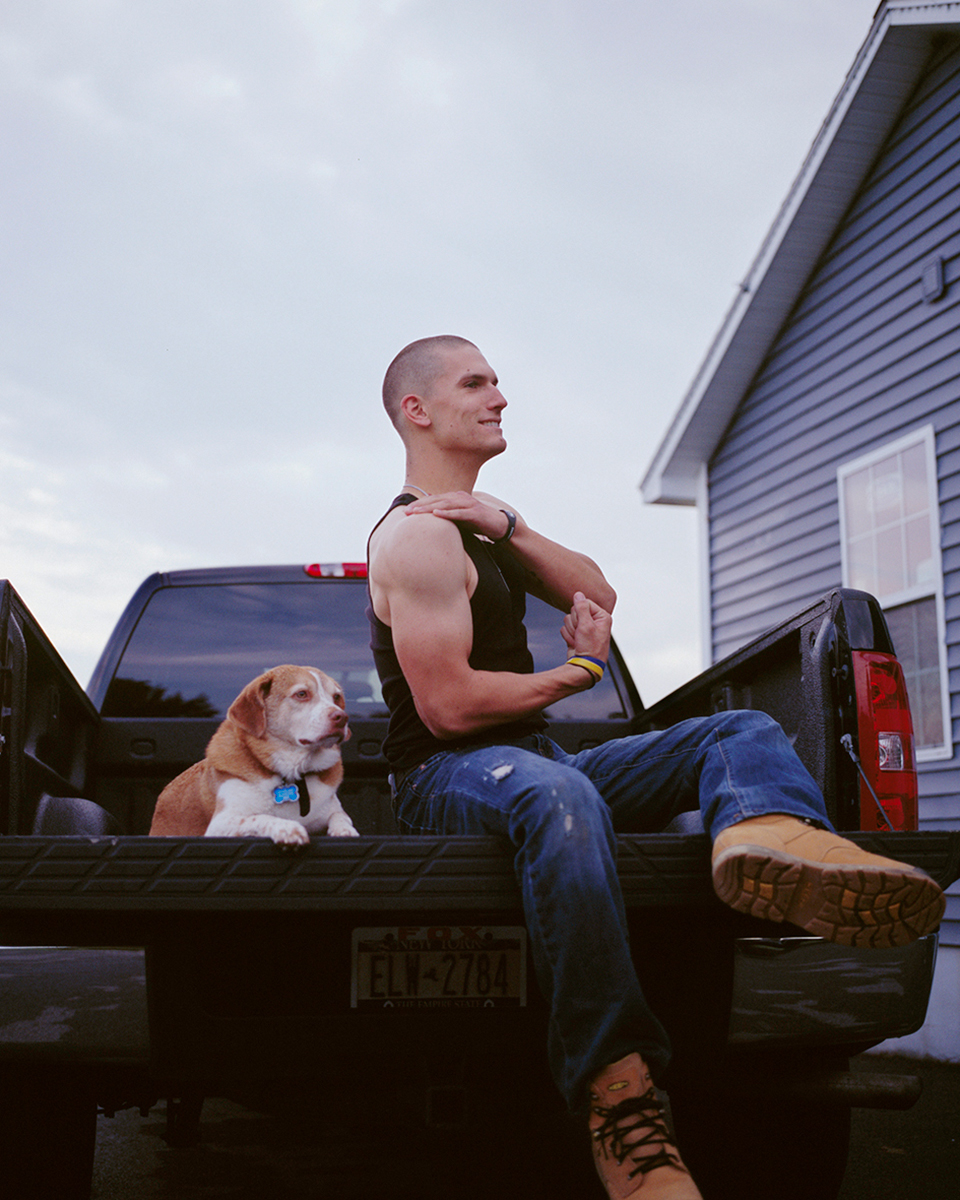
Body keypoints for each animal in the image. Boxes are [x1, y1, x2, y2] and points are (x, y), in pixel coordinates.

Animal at [148, 667, 357, 844]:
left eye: (336, 697)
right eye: (302, 694)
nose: (342, 717)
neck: (292, 772)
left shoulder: (332, 809)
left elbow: (341, 816)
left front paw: (346, 830)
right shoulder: (222, 823)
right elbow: (261, 817)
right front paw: (288, 828)